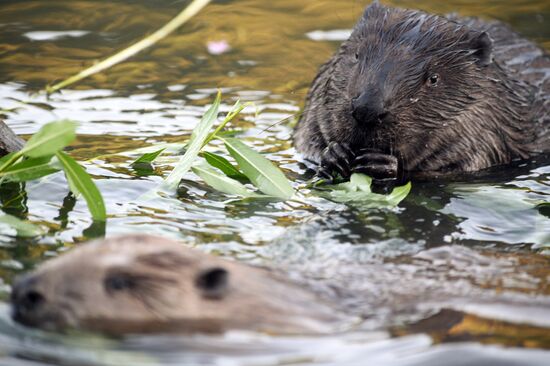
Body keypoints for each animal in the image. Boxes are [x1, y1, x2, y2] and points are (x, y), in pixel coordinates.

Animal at [298, 1, 550, 182]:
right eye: (357, 55)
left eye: (433, 78)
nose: (366, 109)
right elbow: (304, 142)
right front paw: (334, 153)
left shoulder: (490, 132)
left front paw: (382, 163)